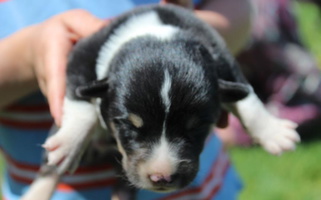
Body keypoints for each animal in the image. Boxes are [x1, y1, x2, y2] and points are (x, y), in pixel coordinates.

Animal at [21, 3, 298, 200]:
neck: (157, 37)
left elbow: (247, 97)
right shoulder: (81, 56)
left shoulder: (225, 62)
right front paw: (69, 142)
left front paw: (275, 133)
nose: (162, 177)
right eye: (129, 126)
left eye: (197, 127)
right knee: (47, 173)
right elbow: (80, 99)